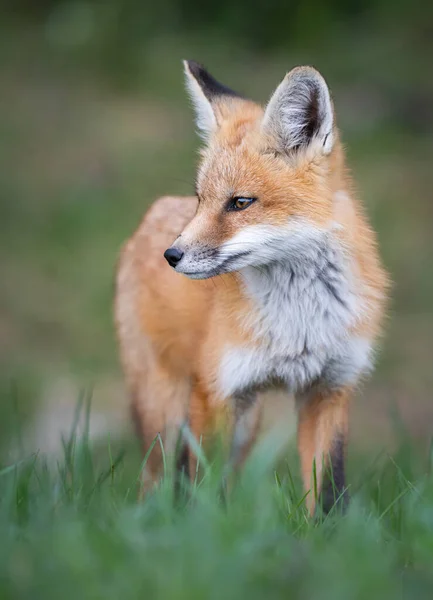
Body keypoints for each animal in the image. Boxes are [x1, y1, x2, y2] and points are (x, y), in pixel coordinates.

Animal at [113, 59, 386, 510]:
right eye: (201, 199)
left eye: (240, 202)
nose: (172, 255)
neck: (298, 324)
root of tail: (150, 217)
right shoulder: (217, 393)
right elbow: (203, 490)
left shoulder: (329, 389)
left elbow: (329, 491)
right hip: (166, 411)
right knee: (159, 483)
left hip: (247, 423)